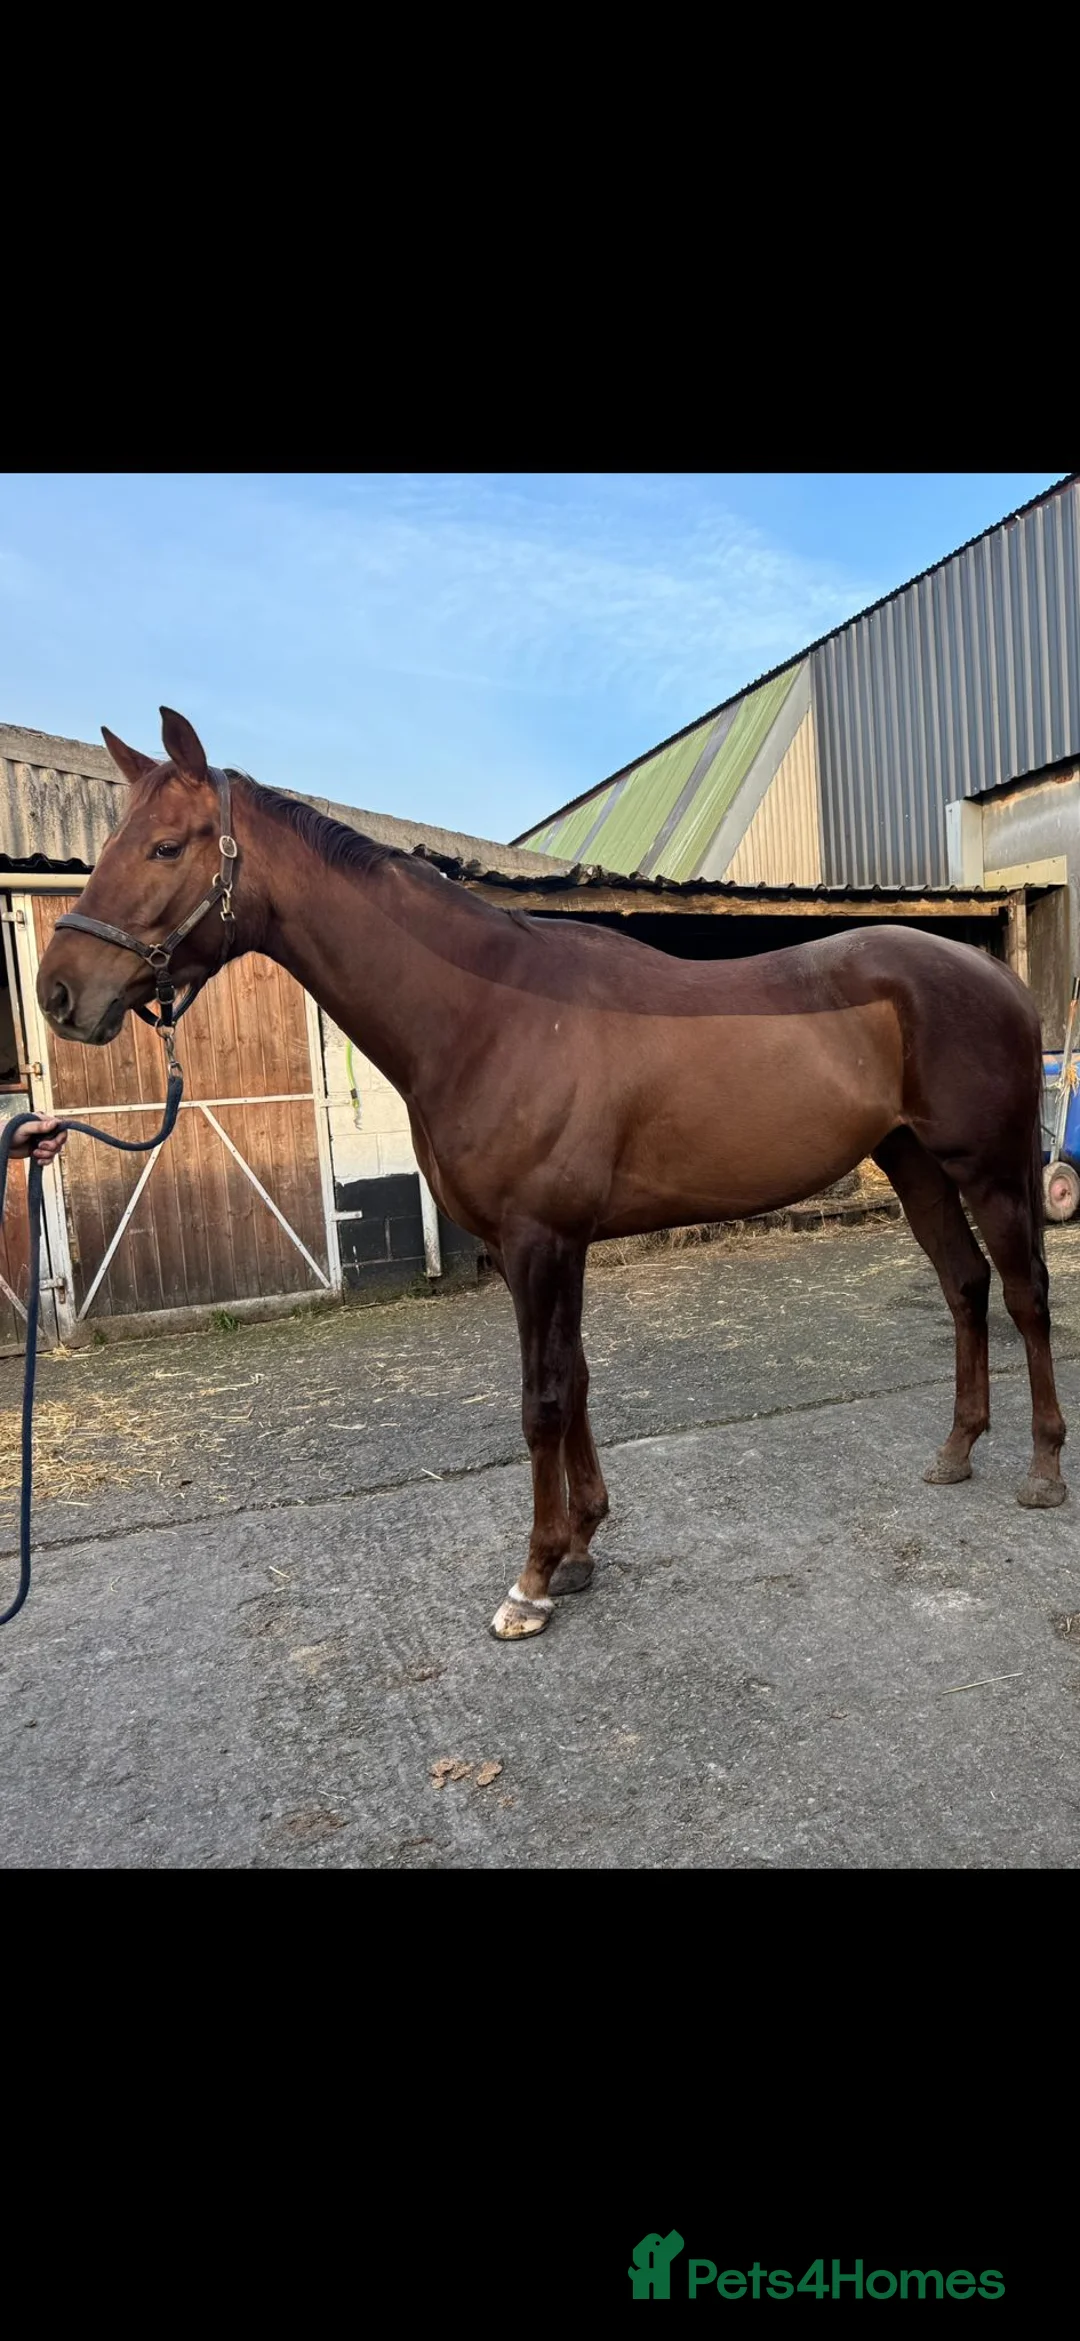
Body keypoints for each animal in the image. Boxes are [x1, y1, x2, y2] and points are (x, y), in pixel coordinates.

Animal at [36, 707, 1067, 1642]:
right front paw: (579, 1548)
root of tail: (997, 978)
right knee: (965, 1285)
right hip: (915, 1165)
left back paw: (1043, 1469)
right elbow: (574, 1378)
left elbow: (540, 1400)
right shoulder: (536, 1248)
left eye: (165, 846)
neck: (490, 1014)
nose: (59, 992)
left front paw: (531, 1580)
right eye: (114, 843)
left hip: (988, 1170)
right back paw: (956, 1450)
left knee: (1024, 1294)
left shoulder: (540, 1241)